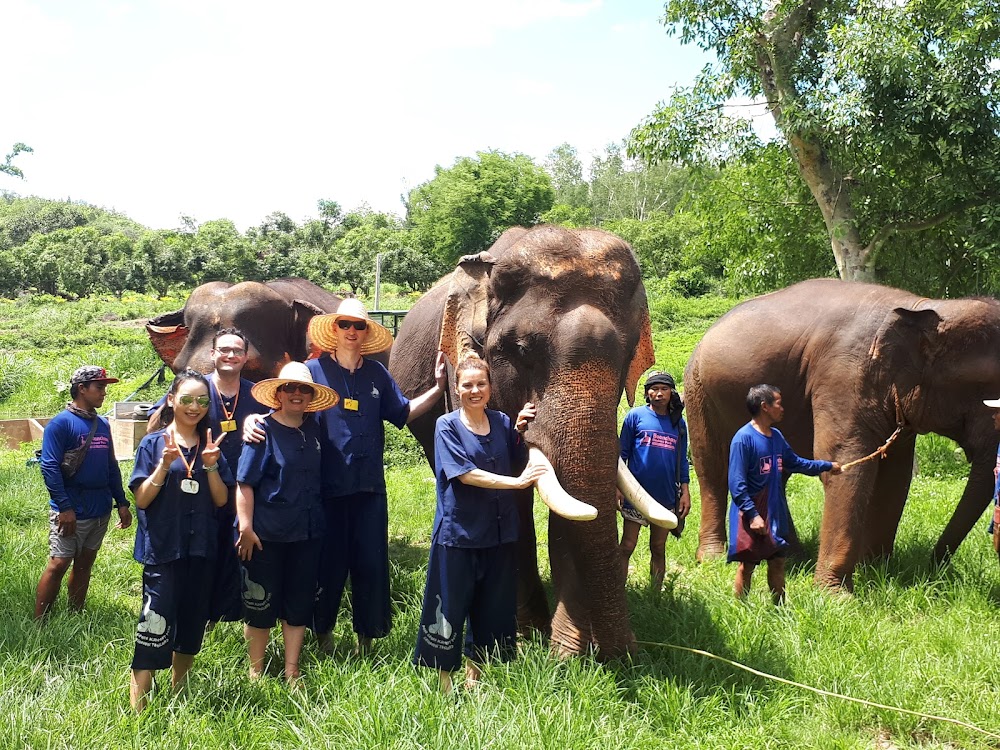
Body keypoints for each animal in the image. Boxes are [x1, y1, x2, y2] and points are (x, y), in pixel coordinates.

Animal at [684, 280, 1000, 592]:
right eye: (982, 387)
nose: (934, 566)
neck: (923, 306)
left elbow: (894, 475)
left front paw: (878, 570)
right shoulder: (843, 375)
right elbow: (846, 463)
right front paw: (837, 594)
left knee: (777, 472)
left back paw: (792, 554)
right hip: (697, 389)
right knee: (712, 467)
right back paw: (713, 558)